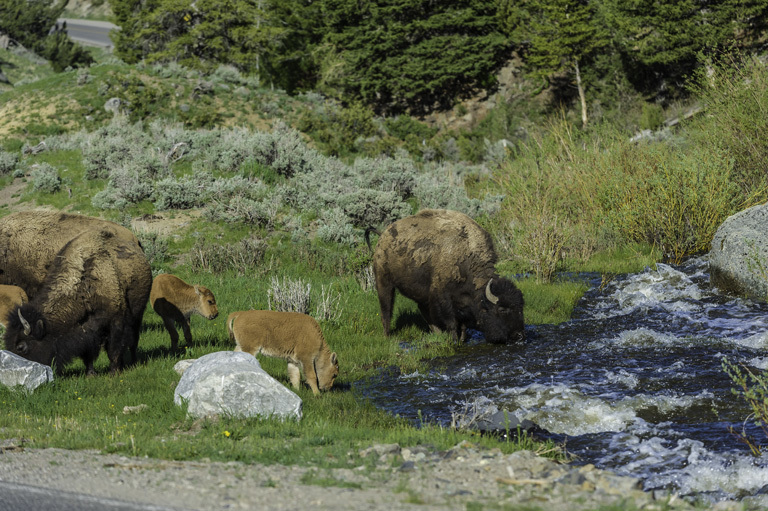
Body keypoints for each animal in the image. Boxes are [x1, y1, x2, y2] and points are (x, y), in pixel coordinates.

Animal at [3, 230, 152, 374]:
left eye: (21, 347)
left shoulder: (116, 321)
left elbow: (114, 349)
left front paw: (114, 373)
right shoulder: (86, 330)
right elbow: (88, 354)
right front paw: (90, 374)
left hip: (137, 315)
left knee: (133, 340)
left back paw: (133, 362)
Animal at [368, 210, 524, 346]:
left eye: (521, 307)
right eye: (502, 309)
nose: (519, 335)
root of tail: (383, 236)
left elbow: (462, 324)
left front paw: (462, 339)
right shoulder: (443, 299)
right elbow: (452, 322)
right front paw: (455, 340)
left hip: (420, 293)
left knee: (423, 310)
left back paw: (436, 334)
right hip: (384, 283)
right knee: (386, 310)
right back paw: (387, 337)